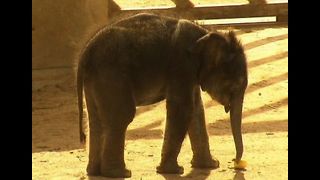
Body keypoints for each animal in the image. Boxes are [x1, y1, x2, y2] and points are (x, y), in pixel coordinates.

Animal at [77, 12, 248, 177]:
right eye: (235, 86)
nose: (235, 161)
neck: (205, 34)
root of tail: (86, 52)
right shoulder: (181, 65)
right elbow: (184, 109)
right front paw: (174, 170)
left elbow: (197, 110)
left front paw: (211, 165)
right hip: (113, 74)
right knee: (122, 116)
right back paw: (120, 173)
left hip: (96, 80)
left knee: (96, 120)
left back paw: (95, 172)